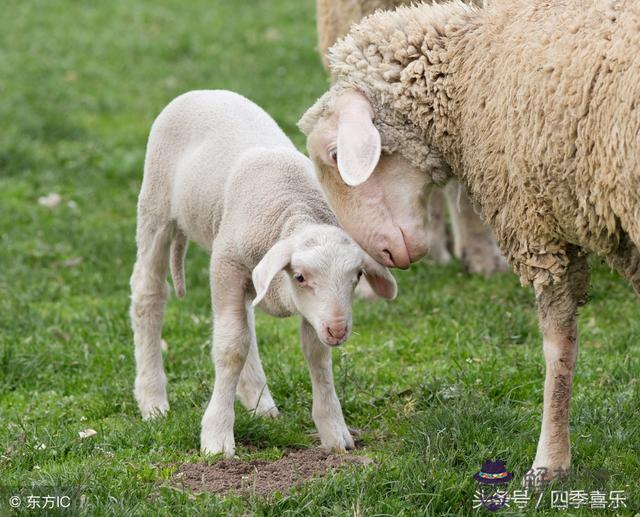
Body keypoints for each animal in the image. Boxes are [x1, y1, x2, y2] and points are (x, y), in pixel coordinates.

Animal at [129, 88, 396, 456]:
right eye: (301, 277)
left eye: (356, 277)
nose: (338, 330)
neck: (293, 210)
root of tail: (204, 91)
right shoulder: (226, 265)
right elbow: (231, 347)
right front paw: (217, 436)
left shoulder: (308, 308)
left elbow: (316, 356)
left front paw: (333, 430)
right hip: (156, 205)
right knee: (149, 292)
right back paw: (153, 399)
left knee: (246, 322)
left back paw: (258, 400)